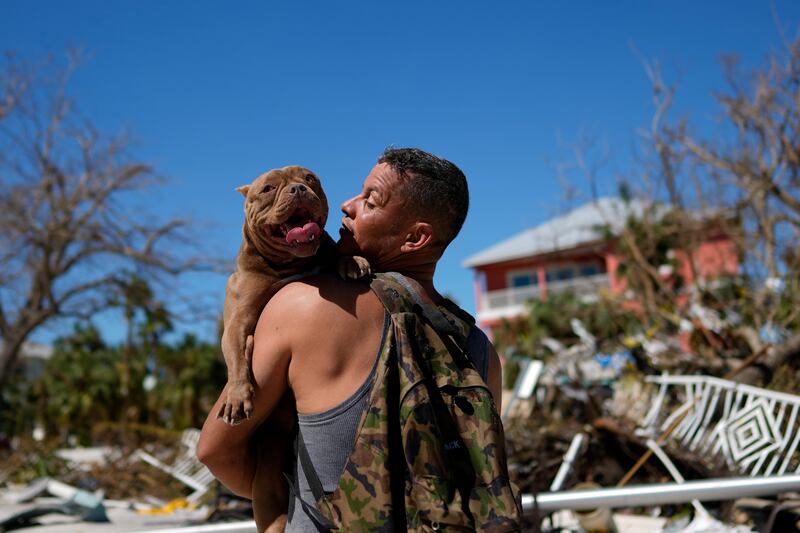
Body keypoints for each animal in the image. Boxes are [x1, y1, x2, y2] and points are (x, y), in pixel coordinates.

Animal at [220, 164, 368, 528]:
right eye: (268, 188)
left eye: (310, 178)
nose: (299, 189)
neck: (290, 264)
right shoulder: (236, 323)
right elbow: (237, 356)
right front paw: (237, 395)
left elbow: (334, 253)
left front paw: (351, 261)